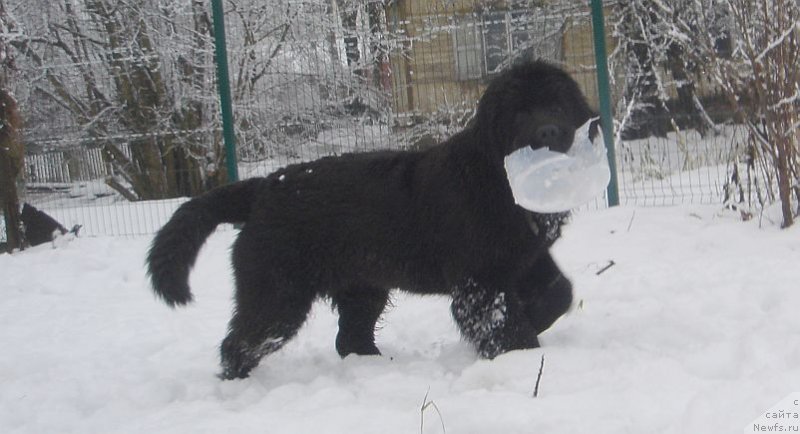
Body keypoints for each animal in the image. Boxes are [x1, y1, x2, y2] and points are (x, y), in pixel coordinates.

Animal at [147, 61, 592, 380]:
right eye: (519, 113)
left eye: (557, 105)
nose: (549, 131)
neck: (497, 179)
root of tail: (263, 186)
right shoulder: (480, 281)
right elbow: (502, 323)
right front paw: (521, 360)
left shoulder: (525, 258)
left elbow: (560, 291)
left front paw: (535, 322)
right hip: (277, 292)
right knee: (242, 342)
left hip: (361, 287)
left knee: (349, 337)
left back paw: (375, 368)